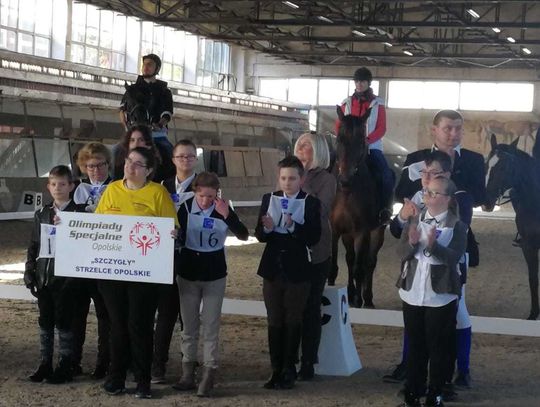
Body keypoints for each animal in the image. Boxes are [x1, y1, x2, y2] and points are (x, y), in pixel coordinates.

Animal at [326, 107, 386, 308]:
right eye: (339, 139)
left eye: (361, 141)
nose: (345, 180)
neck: (346, 193)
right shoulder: (335, 230)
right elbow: (335, 266)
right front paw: (347, 294)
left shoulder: (362, 232)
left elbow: (360, 268)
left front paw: (359, 300)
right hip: (347, 235)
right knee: (350, 259)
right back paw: (352, 294)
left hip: (377, 232)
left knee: (370, 262)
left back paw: (367, 298)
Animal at [486, 135, 540, 320]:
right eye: (487, 164)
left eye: (504, 167)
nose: (487, 202)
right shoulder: (528, 246)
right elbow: (533, 279)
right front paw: (533, 314)